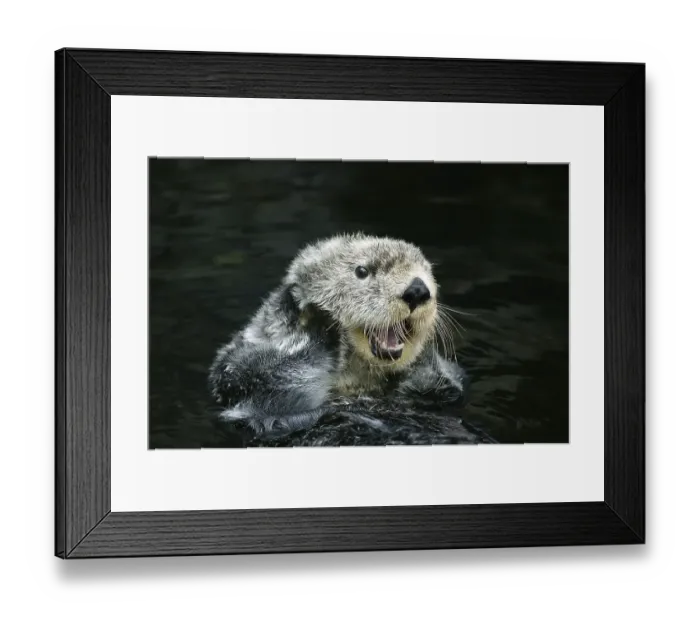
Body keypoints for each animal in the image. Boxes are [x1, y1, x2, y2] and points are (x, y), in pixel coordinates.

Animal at [208, 233, 484, 445]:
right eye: (362, 271)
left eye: (428, 273)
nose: (417, 290)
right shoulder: (241, 374)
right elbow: (280, 381)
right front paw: (318, 318)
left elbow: (451, 386)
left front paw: (426, 357)